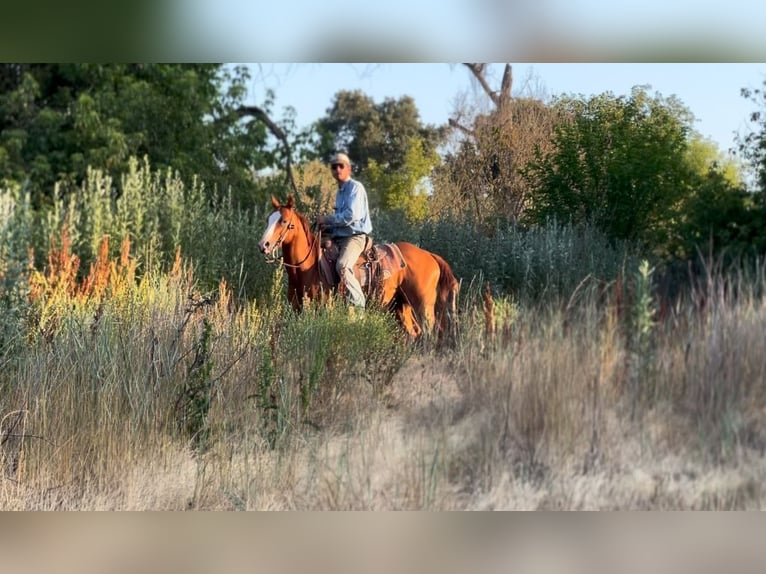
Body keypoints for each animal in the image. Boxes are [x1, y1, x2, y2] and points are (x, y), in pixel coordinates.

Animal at [258, 194, 459, 340]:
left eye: (283, 221)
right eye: (268, 220)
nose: (263, 245)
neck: (308, 268)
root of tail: (430, 255)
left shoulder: (322, 311)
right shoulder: (297, 311)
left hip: (423, 306)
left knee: (429, 335)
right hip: (401, 307)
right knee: (414, 334)